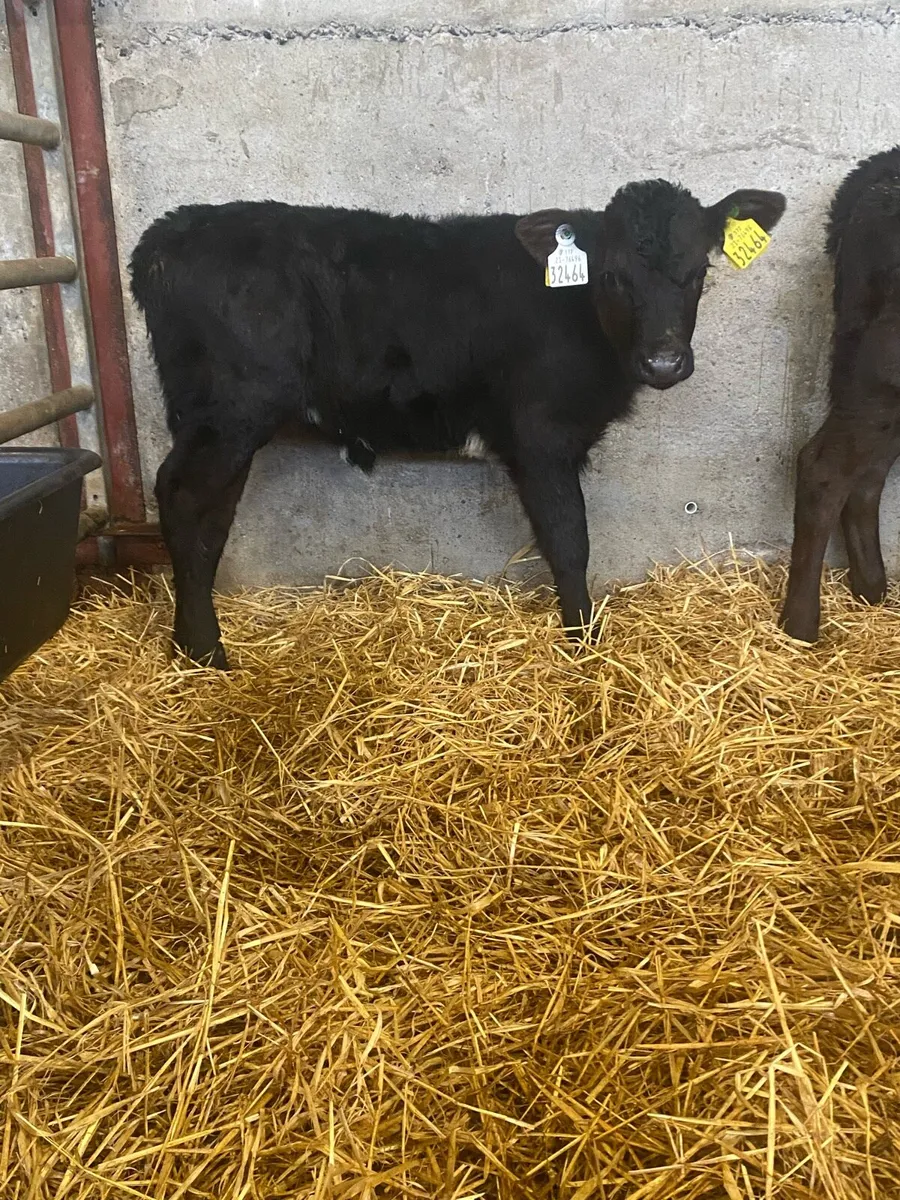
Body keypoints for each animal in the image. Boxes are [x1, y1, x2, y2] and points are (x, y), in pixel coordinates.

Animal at [130, 181, 786, 668]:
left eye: (698, 271)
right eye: (613, 276)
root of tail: (168, 235)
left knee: (212, 516)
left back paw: (191, 643)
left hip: (224, 423)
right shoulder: (540, 437)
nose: (665, 362)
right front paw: (584, 645)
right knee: (181, 496)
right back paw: (205, 653)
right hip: (228, 411)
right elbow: (569, 541)